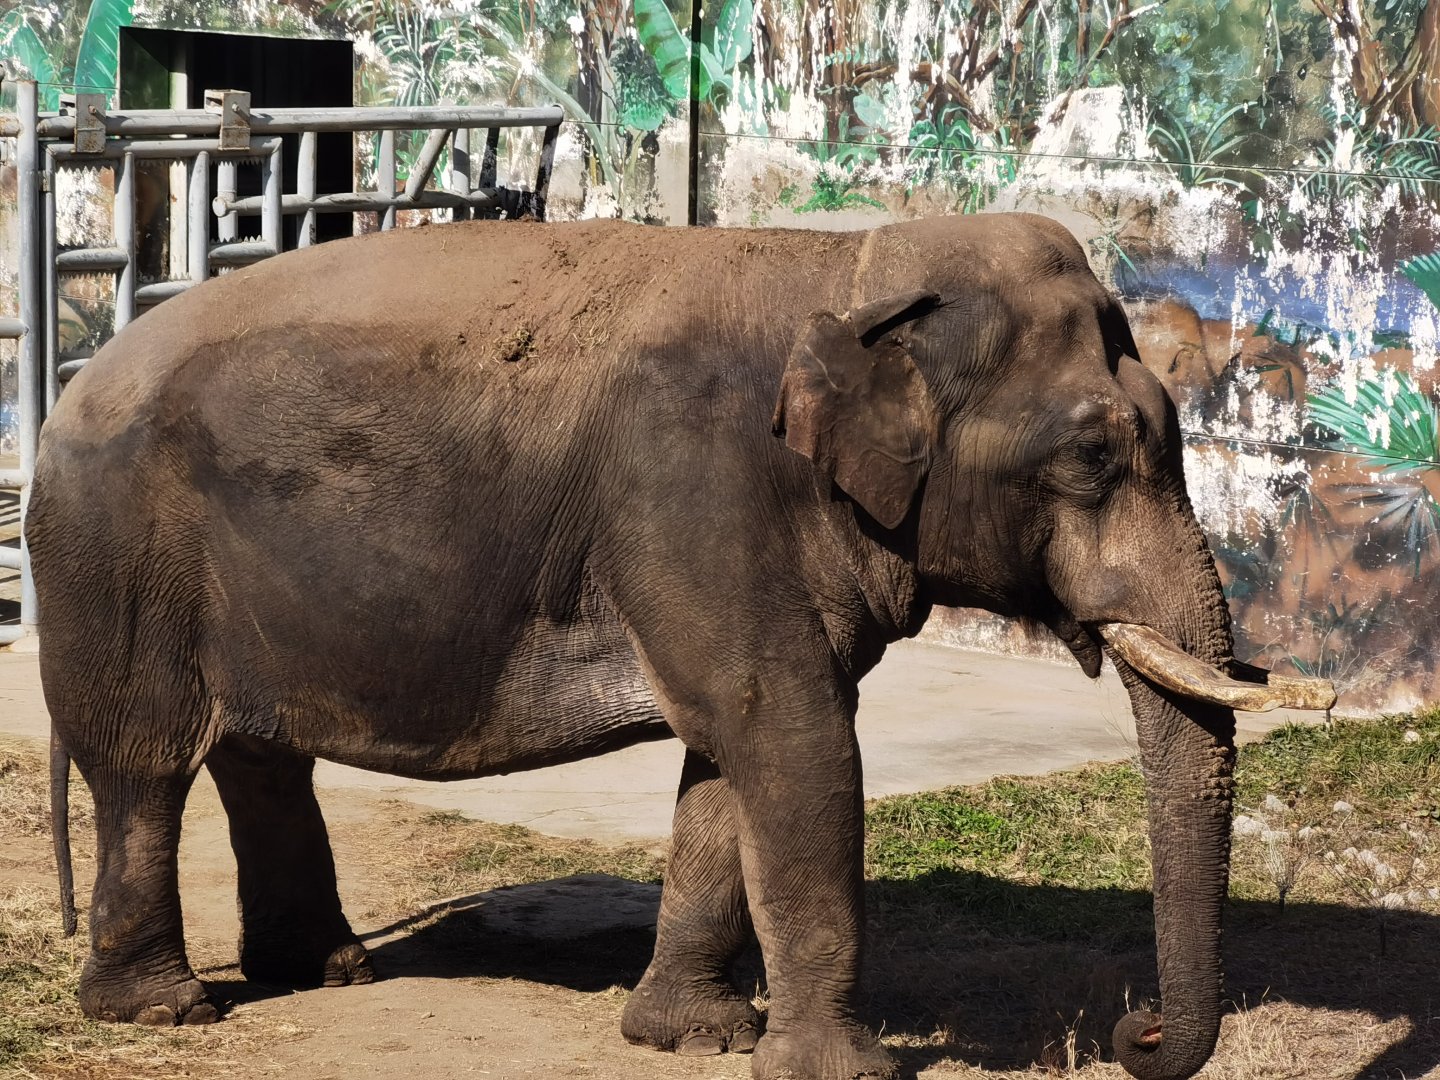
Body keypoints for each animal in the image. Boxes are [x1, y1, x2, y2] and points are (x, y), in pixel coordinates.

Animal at [27, 213, 1334, 1080]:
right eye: (1094, 459)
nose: (1132, 1031)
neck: (847, 270)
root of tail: (63, 395)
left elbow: (729, 764)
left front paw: (690, 1037)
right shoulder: (697, 494)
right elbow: (796, 743)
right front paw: (844, 1071)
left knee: (259, 762)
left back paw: (325, 971)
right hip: (116, 563)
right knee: (145, 767)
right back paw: (164, 1013)